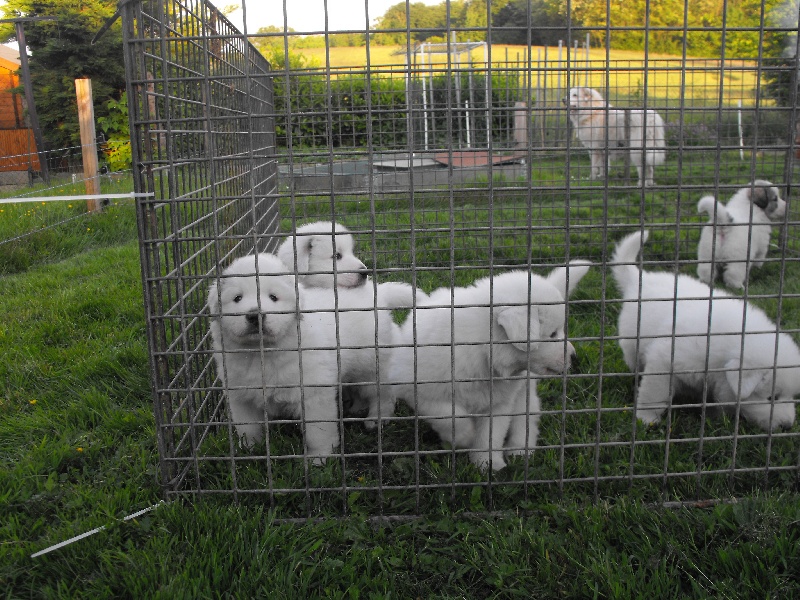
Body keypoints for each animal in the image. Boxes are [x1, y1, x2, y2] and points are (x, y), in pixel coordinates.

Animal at [208, 251, 400, 462]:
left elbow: (318, 432)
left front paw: (320, 458)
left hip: (371, 367)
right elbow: (248, 429)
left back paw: (376, 420)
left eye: (273, 297)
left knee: (383, 395)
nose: (254, 315)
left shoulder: (313, 394)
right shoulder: (241, 397)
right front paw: (250, 451)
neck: (262, 353)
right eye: (237, 298)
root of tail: (378, 293)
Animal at [612, 230, 792, 432]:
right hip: (632, 343)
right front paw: (647, 419)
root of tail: (642, 278)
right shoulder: (665, 362)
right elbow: (654, 394)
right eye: (772, 397)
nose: (788, 425)